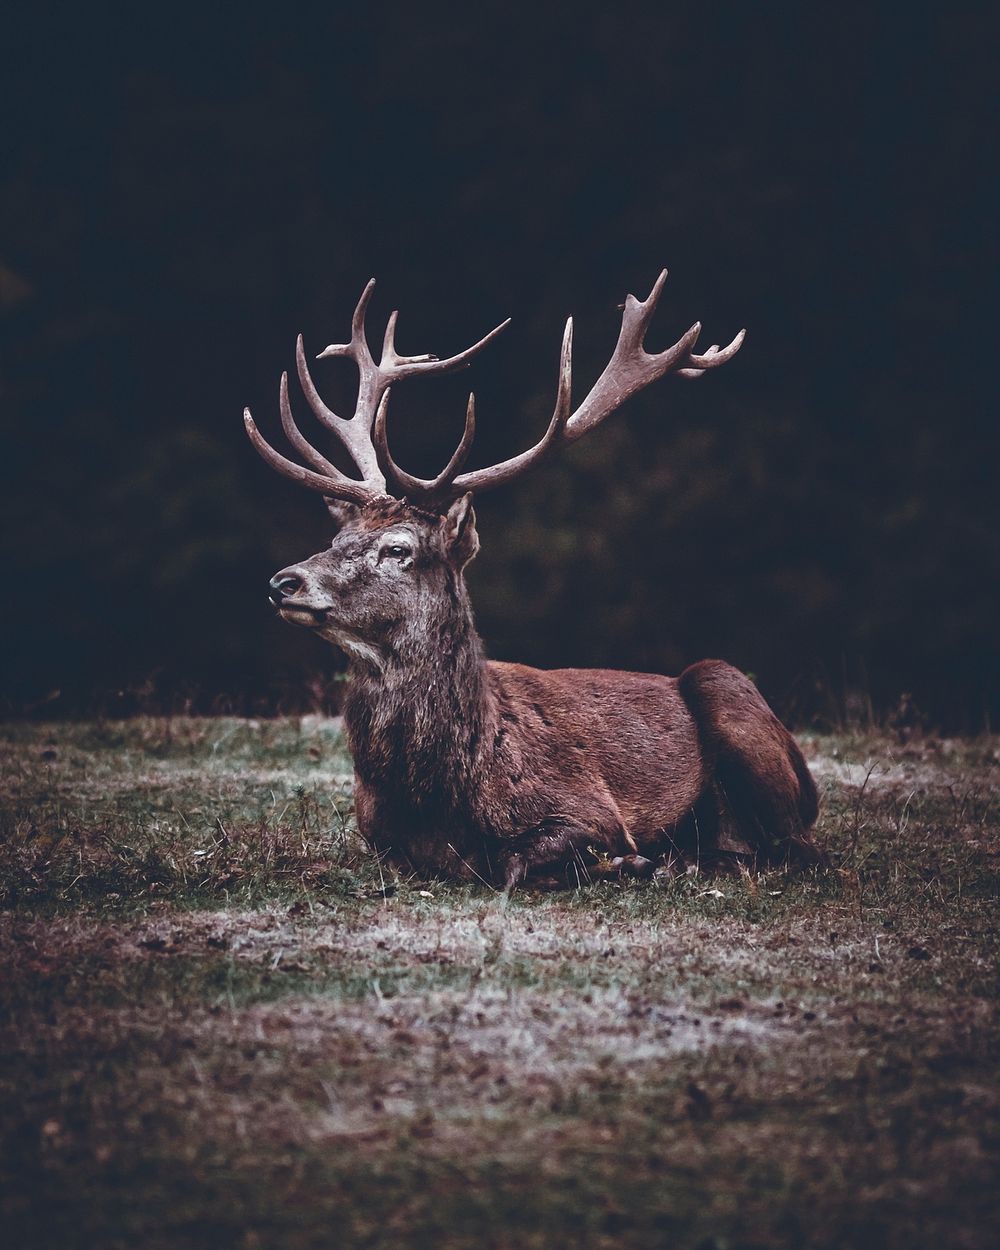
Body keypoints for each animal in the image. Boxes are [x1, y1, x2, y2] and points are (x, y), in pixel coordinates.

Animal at [243, 273, 820, 890]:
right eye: (336, 539)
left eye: (397, 549)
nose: (284, 582)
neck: (439, 793)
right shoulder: (376, 834)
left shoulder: (590, 806)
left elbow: (514, 863)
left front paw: (629, 860)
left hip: (729, 693)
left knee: (799, 849)